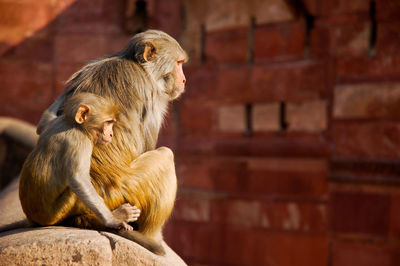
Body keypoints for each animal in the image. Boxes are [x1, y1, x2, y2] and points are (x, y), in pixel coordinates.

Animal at [19, 93, 140, 231]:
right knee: (73, 191)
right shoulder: (80, 142)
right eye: (108, 122)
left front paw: (63, 97)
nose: (111, 134)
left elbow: (42, 125)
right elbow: (79, 180)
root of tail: (31, 218)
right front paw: (113, 221)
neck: (75, 125)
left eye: (111, 123)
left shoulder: (55, 123)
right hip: (54, 214)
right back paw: (120, 214)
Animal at [33, 29, 187, 256]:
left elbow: (45, 122)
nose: (184, 80)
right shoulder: (150, 92)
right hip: (128, 189)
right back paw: (151, 237)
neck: (136, 64)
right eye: (178, 63)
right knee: (165, 155)